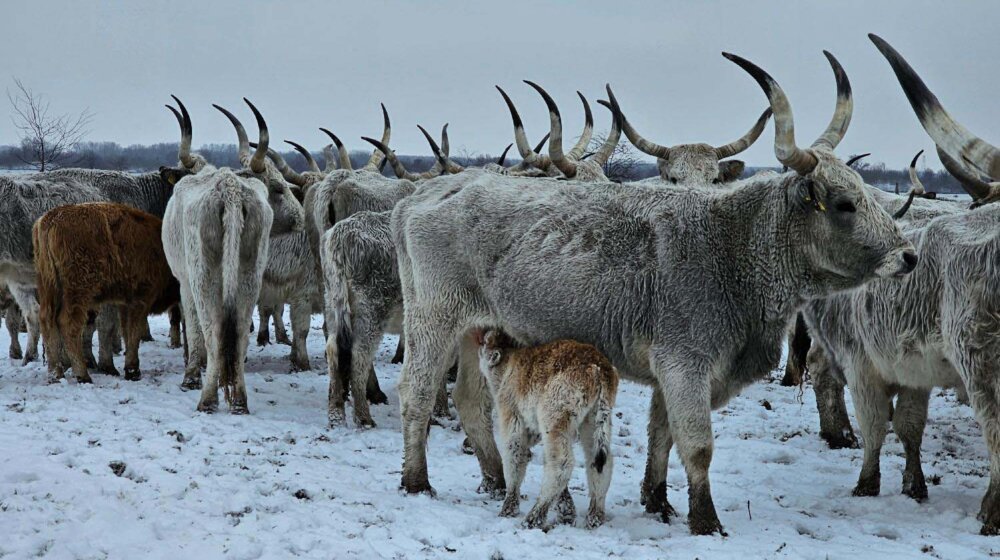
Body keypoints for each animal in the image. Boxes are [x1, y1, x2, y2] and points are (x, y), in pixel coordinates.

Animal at [35, 202, 182, 384]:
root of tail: (51, 219)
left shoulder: (125, 303)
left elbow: (127, 331)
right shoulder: (140, 299)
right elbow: (133, 332)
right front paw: (133, 371)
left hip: (49, 288)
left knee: (46, 321)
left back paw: (55, 374)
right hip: (78, 292)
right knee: (69, 324)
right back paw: (83, 375)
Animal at [386, 51, 916, 532]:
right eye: (845, 203)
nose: (908, 256)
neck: (730, 243)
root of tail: (424, 195)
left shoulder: (671, 369)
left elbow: (662, 435)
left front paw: (657, 501)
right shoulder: (686, 365)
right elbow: (697, 445)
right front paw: (705, 520)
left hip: (476, 329)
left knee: (468, 401)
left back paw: (496, 480)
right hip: (433, 319)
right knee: (418, 391)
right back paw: (416, 480)